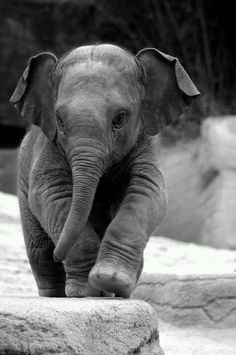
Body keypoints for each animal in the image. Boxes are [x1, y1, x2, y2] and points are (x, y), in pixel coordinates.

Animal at [10, 43, 199, 298]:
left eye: (119, 119)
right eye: (60, 121)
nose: (59, 254)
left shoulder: (145, 145)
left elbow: (147, 192)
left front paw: (111, 280)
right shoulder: (49, 147)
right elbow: (52, 194)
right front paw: (86, 292)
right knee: (39, 252)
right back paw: (57, 294)